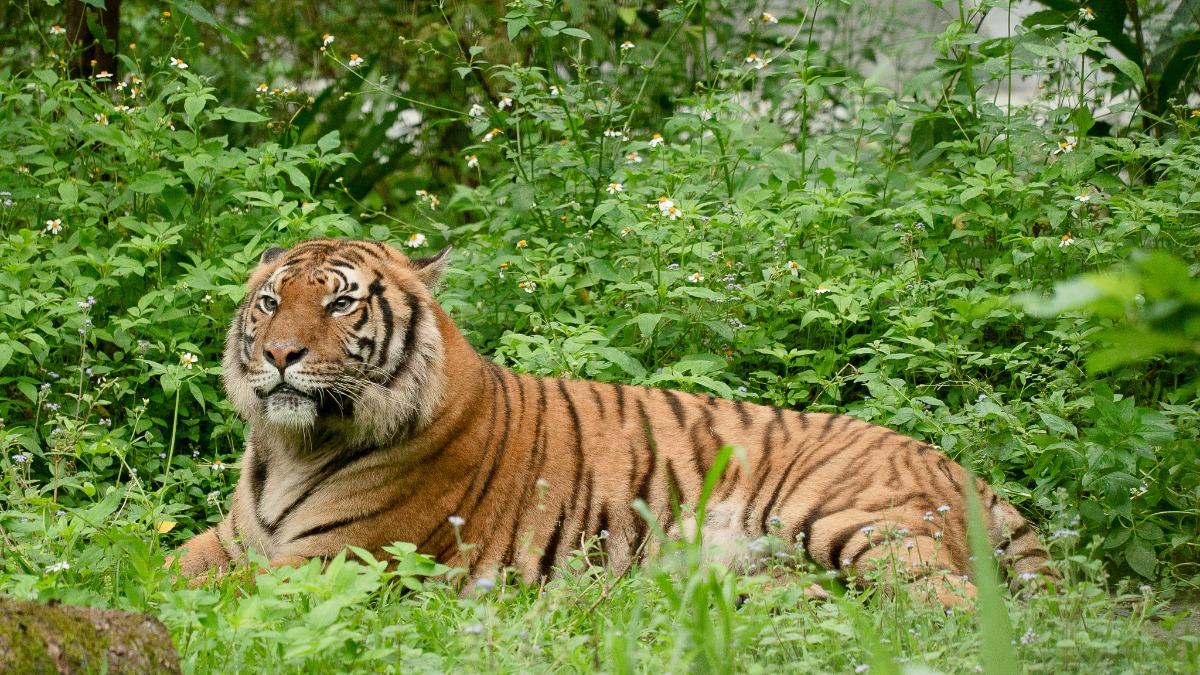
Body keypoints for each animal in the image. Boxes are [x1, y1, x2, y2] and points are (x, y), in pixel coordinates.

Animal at [172, 238, 1052, 606]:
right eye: (269, 301)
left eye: (341, 303)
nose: (279, 355)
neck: (292, 444)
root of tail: (959, 464)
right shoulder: (235, 541)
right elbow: (163, 563)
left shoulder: (335, 559)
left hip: (856, 521)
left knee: (960, 611)